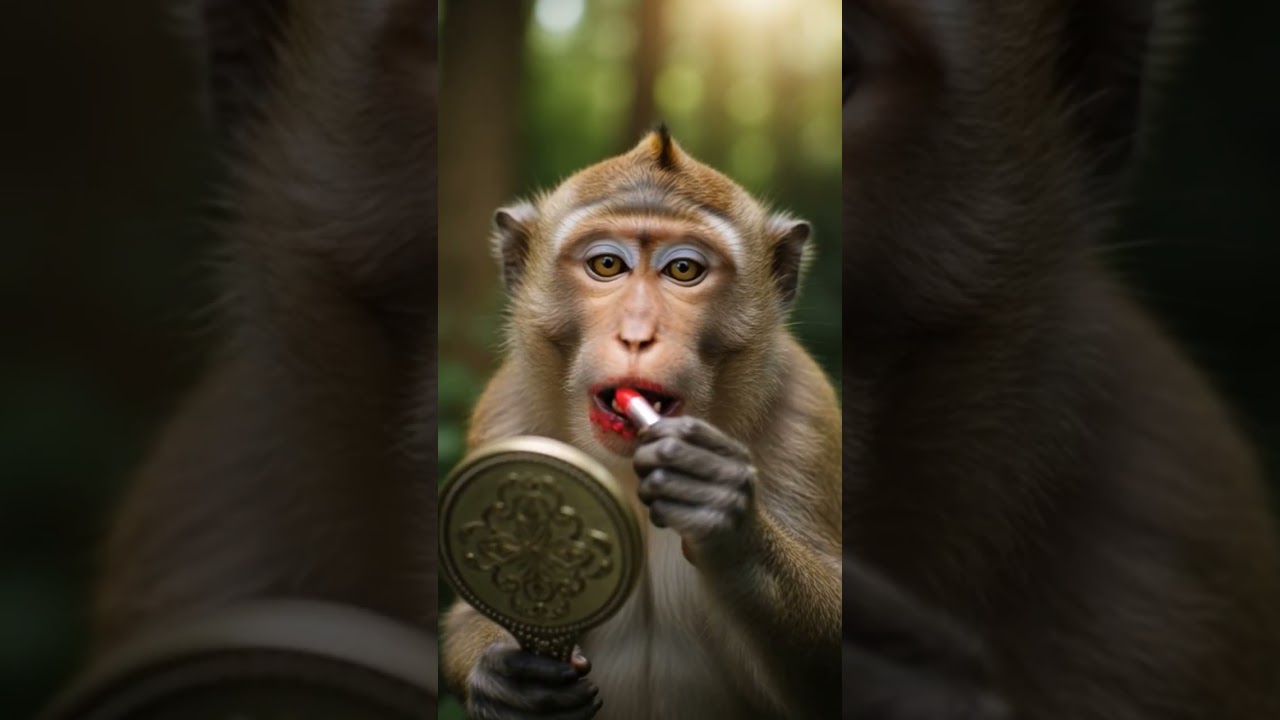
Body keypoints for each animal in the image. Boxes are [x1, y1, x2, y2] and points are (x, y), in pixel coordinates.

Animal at [440, 128, 843, 720]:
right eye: (607, 265)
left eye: (683, 270)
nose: (636, 334)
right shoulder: (506, 411)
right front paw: (504, 679)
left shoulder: (806, 415)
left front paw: (725, 515)